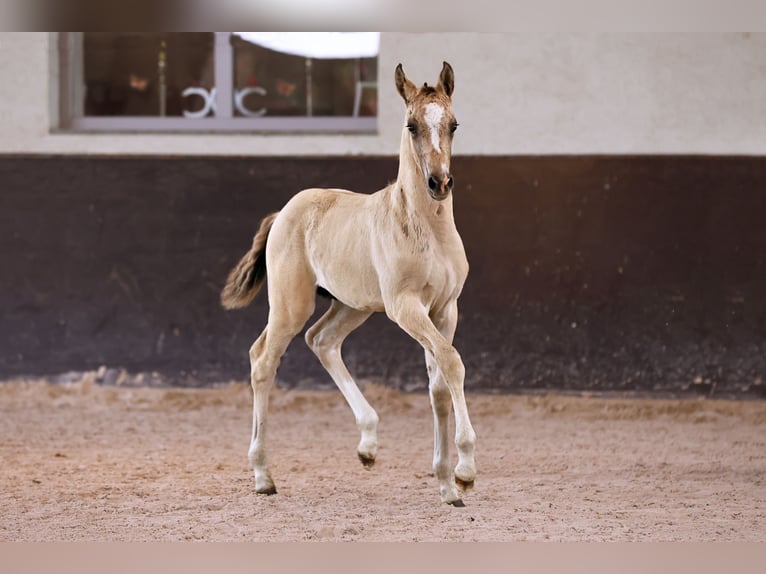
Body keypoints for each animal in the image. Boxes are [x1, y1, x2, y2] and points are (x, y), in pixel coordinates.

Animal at [221, 61, 477, 506]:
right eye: (411, 125)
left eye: (454, 124)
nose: (439, 183)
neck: (427, 229)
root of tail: (284, 212)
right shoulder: (405, 307)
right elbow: (452, 362)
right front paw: (464, 470)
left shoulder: (445, 309)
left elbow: (439, 386)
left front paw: (447, 484)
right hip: (291, 304)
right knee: (263, 359)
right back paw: (263, 475)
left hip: (351, 305)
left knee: (321, 340)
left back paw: (368, 445)